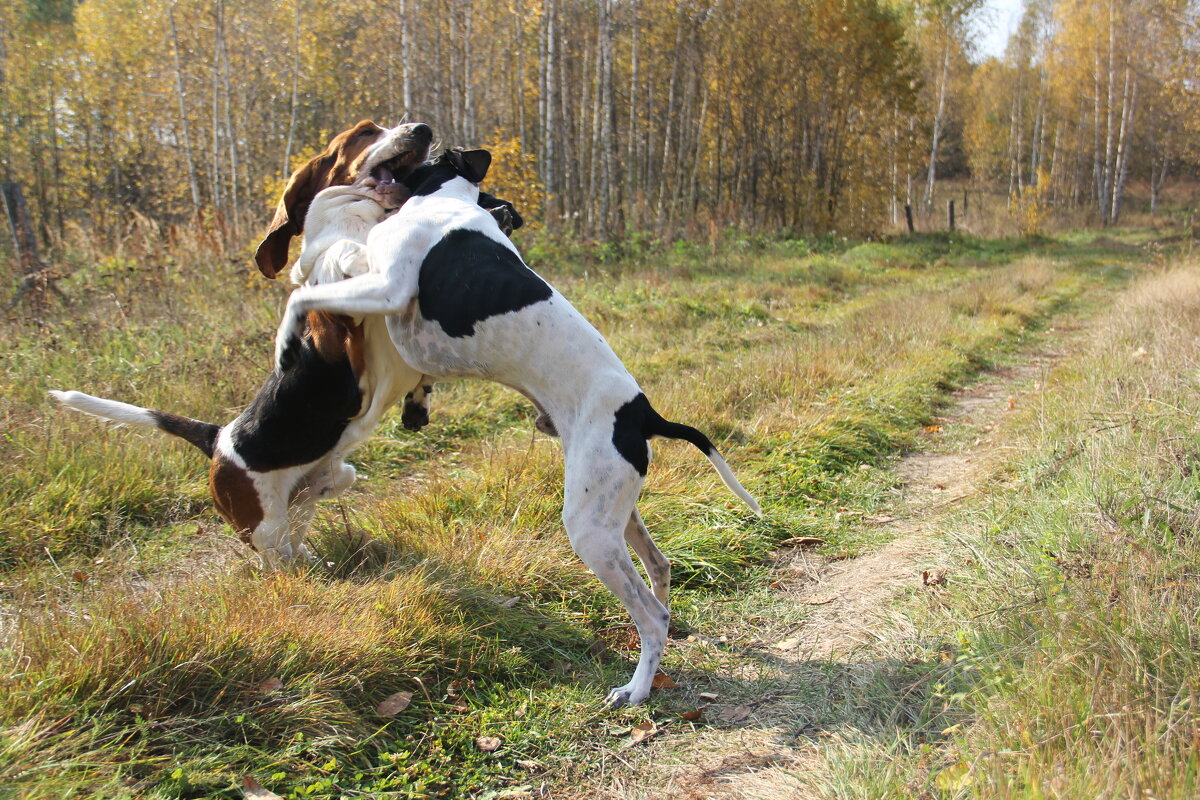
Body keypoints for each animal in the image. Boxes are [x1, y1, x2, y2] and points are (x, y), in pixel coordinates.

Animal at [274, 134, 758, 710]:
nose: (418, 127)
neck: (444, 198)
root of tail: (642, 411)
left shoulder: (388, 286)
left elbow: (302, 294)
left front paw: (286, 342)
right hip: (613, 510)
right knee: (660, 568)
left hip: (590, 531)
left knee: (651, 613)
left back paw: (637, 689)